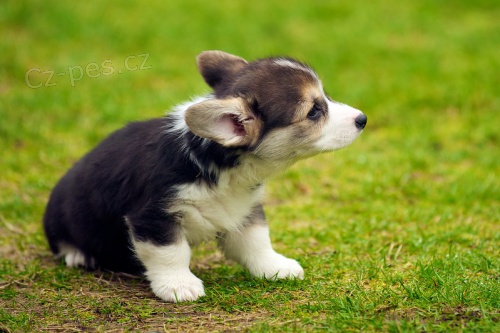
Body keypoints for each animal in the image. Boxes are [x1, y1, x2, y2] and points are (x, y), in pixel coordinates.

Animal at [44, 50, 368, 302]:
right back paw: (79, 255)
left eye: (325, 97)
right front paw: (179, 286)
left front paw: (276, 266)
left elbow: (257, 240)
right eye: (314, 112)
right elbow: (171, 253)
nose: (362, 119)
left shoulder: (245, 209)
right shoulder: (153, 216)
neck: (220, 166)